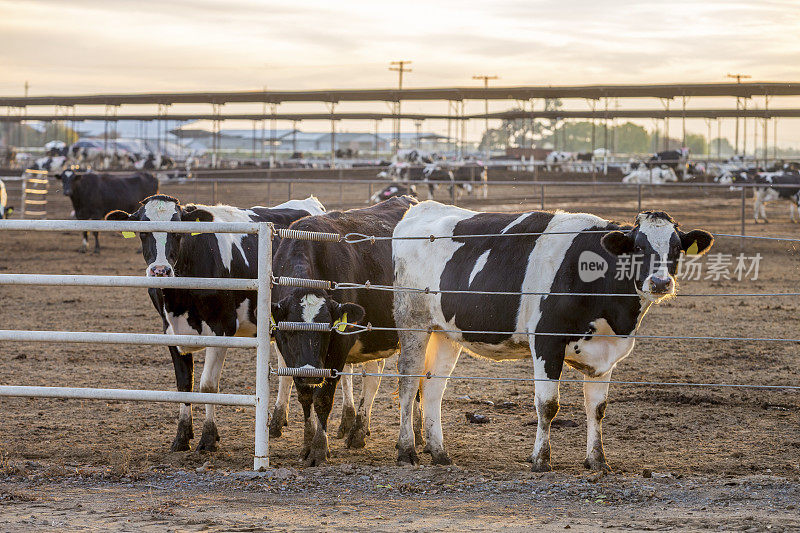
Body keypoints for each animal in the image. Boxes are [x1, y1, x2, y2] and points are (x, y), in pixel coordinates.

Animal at [106, 193, 324, 450]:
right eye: (142, 231)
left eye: (179, 232)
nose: (160, 270)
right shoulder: (169, 332)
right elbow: (184, 386)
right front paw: (182, 436)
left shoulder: (222, 328)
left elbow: (208, 385)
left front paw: (209, 437)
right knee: (287, 371)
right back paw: (277, 423)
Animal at [270, 196, 418, 466]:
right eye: (291, 332)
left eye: (328, 330)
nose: (311, 373)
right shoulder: (290, 354)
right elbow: (305, 396)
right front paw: (306, 444)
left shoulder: (338, 349)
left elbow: (323, 398)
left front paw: (319, 448)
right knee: (374, 376)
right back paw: (358, 432)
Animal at [392, 203, 712, 470]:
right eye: (638, 247)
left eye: (676, 248)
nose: (660, 282)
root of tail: (420, 208)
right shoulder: (546, 340)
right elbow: (547, 405)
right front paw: (541, 460)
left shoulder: (606, 355)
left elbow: (597, 409)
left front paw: (597, 461)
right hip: (412, 322)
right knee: (408, 383)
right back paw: (406, 451)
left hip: (445, 332)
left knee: (433, 387)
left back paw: (439, 453)